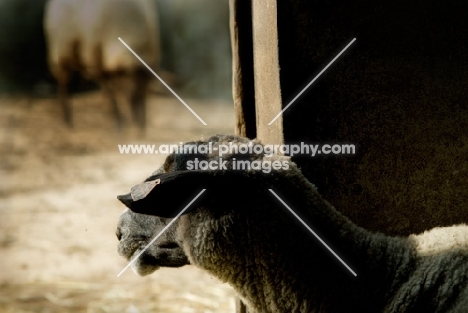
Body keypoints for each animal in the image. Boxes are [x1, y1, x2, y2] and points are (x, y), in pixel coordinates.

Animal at [44, 0, 161, 128]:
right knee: (63, 85)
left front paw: (140, 123)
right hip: (61, 54)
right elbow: (111, 94)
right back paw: (67, 119)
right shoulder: (98, 64)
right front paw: (120, 122)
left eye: (143, 82)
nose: (133, 102)